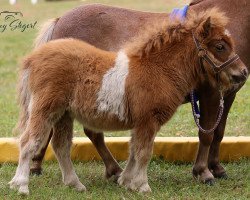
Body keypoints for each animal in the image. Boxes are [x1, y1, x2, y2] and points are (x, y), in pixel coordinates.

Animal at [9, 8, 246, 195]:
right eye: (220, 46)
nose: (242, 73)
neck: (158, 69)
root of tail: (35, 57)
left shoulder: (140, 122)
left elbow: (133, 151)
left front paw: (126, 181)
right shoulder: (148, 120)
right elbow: (144, 152)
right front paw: (142, 186)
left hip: (63, 115)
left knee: (61, 146)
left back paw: (75, 184)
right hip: (45, 109)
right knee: (29, 141)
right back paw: (20, 185)